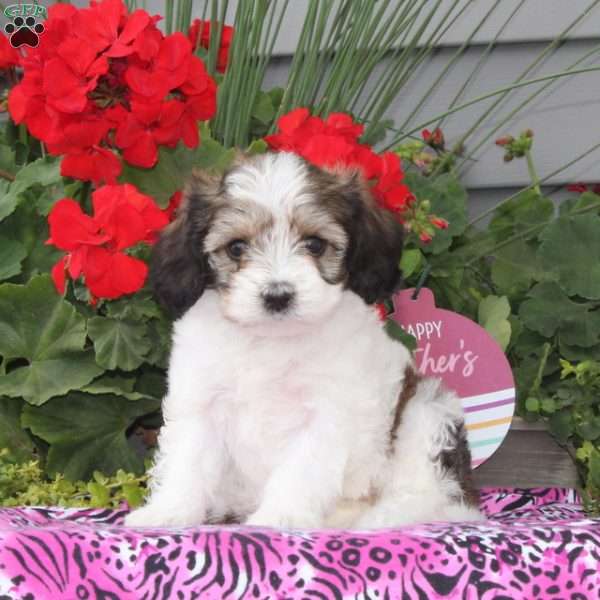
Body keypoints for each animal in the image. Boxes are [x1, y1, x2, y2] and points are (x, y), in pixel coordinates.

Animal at [126, 151, 482, 528]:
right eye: (236, 248)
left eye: (314, 244)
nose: (277, 295)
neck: (270, 339)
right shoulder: (201, 400)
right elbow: (187, 460)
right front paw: (168, 511)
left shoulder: (325, 413)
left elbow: (300, 470)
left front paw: (280, 518)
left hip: (427, 409)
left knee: (426, 494)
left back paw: (377, 518)